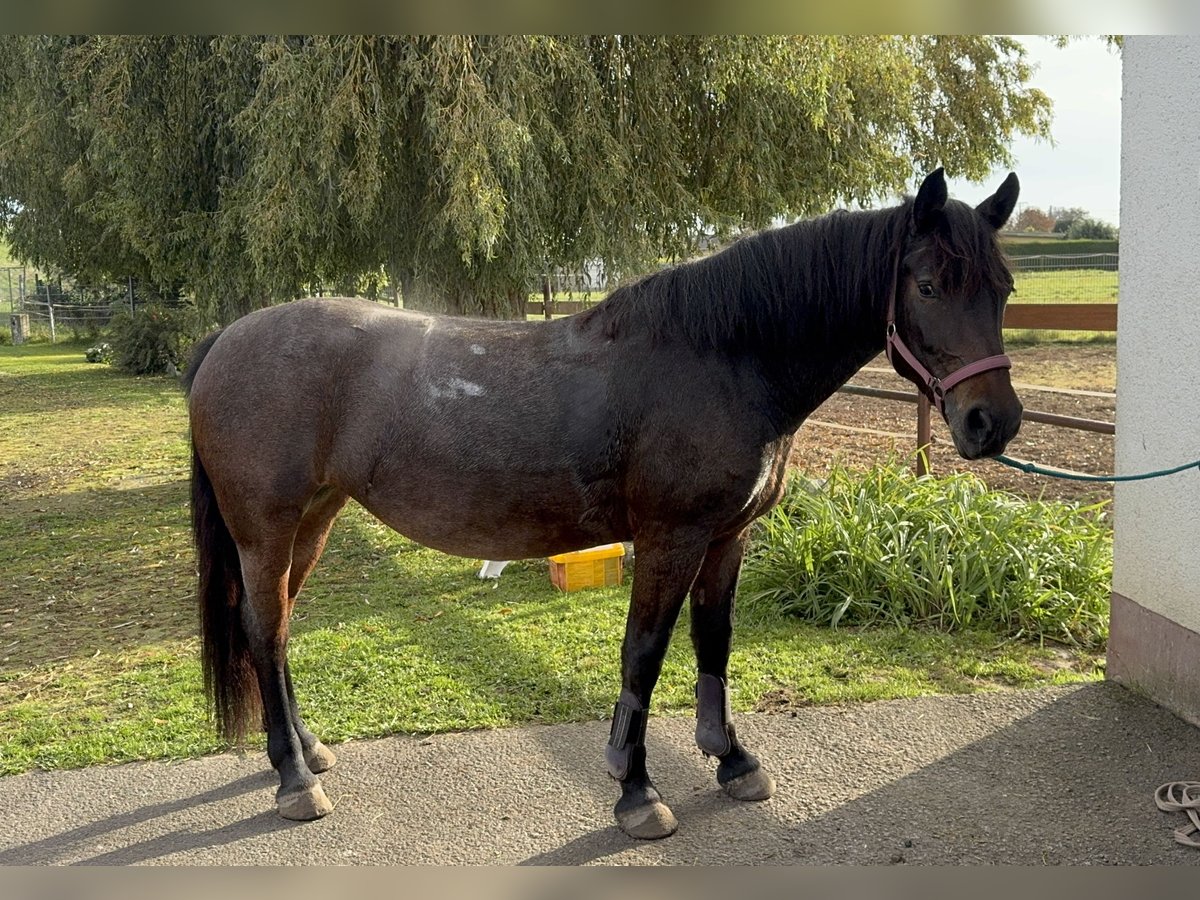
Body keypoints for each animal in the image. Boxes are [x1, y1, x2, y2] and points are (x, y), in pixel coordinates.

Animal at [184, 168, 1022, 840]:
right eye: (928, 285)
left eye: (1004, 288)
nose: (995, 422)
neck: (720, 357)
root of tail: (225, 338)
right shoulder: (670, 539)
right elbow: (643, 654)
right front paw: (636, 790)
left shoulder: (728, 539)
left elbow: (713, 642)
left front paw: (732, 760)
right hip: (265, 530)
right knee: (265, 630)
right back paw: (294, 780)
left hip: (315, 520)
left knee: (278, 628)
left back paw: (308, 752)